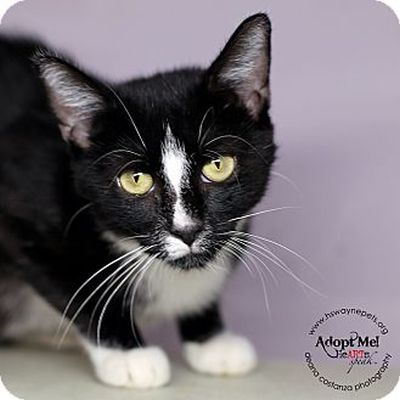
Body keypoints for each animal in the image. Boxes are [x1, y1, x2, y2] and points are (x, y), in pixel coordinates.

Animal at [0, 13, 275, 389]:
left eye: (217, 165)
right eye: (135, 180)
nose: (186, 231)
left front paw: (211, 339)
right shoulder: (19, 207)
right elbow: (73, 282)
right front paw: (128, 354)